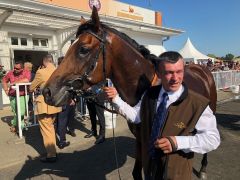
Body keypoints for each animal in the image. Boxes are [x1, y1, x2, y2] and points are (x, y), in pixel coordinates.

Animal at [42, 6, 217, 179]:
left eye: (83, 49)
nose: (47, 92)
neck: (144, 87)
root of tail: (201, 69)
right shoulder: (140, 139)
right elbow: (136, 173)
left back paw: (203, 168)